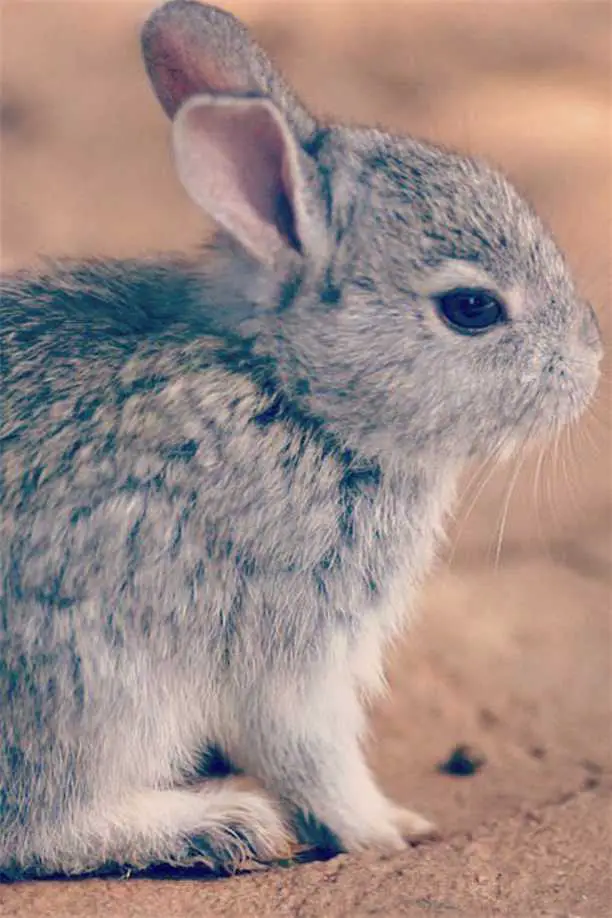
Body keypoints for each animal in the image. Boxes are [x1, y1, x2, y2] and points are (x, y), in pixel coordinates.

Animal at [0, 0, 604, 876]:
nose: (591, 361)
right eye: (472, 308)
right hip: (92, 683)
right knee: (39, 823)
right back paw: (218, 823)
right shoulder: (291, 643)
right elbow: (313, 755)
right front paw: (388, 830)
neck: (296, 395)